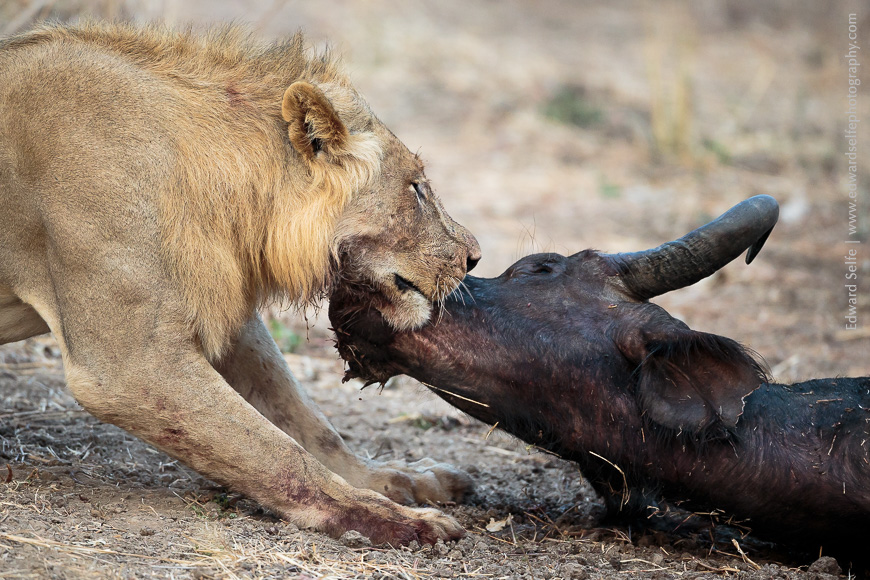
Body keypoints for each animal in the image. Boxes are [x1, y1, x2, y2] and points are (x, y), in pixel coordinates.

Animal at [0, 21, 481, 545]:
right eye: (416, 188)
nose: (474, 257)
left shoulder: (223, 314)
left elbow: (306, 422)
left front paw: (398, 479)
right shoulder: (129, 367)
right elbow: (279, 454)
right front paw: (392, 518)